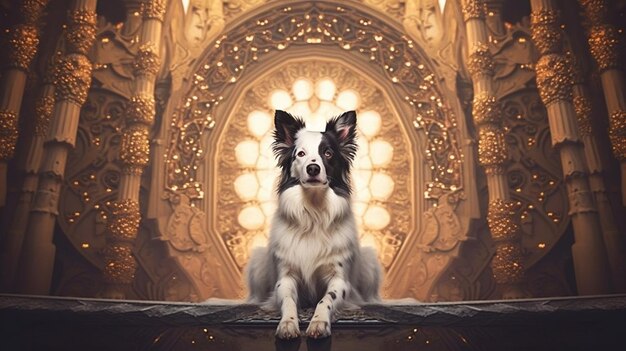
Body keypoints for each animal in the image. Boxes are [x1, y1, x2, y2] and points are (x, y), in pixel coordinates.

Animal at [245, 110, 380, 340]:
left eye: (328, 153)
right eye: (300, 154)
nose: (313, 168)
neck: (314, 212)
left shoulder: (339, 279)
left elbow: (326, 299)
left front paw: (319, 322)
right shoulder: (285, 277)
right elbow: (288, 300)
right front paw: (288, 323)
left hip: (370, 263)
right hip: (258, 262)